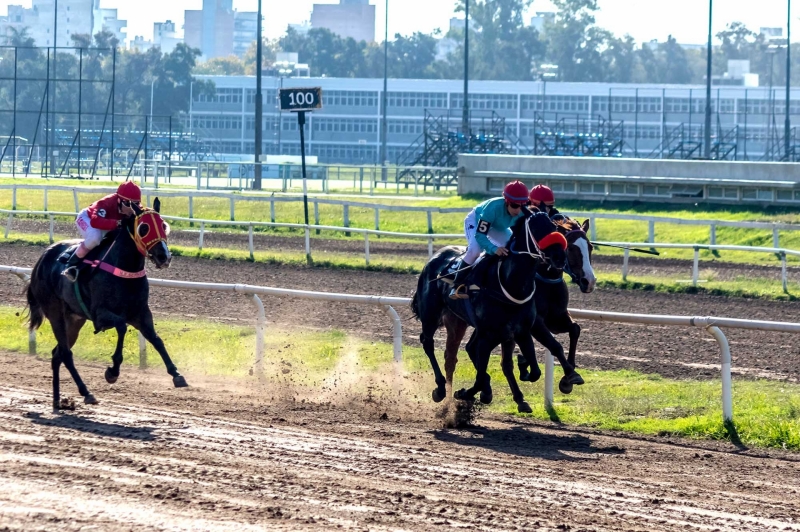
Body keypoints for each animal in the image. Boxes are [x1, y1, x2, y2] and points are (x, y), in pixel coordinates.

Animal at [25, 197, 189, 410]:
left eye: (163, 225)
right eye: (144, 228)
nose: (164, 257)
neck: (124, 268)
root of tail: (41, 260)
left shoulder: (141, 313)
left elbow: (156, 339)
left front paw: (176, 374)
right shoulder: (100, 315)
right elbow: (121, 327)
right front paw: (112, 371)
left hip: (74, 320)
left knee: (57, 354)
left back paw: (57, 401)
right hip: (54, 313)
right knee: (66, 354)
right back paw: (86, 393)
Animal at [412, 212, 580, 412]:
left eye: (553, 228)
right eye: (536, 229)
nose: (559, 257)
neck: (510, 284)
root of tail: (434, 257)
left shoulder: (522, 330)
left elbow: (535, 368)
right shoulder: (489, 334)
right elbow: (480, 376)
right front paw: (466, 393)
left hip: (459, 321)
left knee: (458, 353)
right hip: (431, 314)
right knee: (428, 343)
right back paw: (440, 388)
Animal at [516, 218, 596, 392]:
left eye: (590, 246)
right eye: (570, 247)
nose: (589, 281)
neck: (547, 281)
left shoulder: (556, 318)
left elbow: (575, 329)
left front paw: (568, 374)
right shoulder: (536, 322)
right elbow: (555, 345)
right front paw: (570, 375)